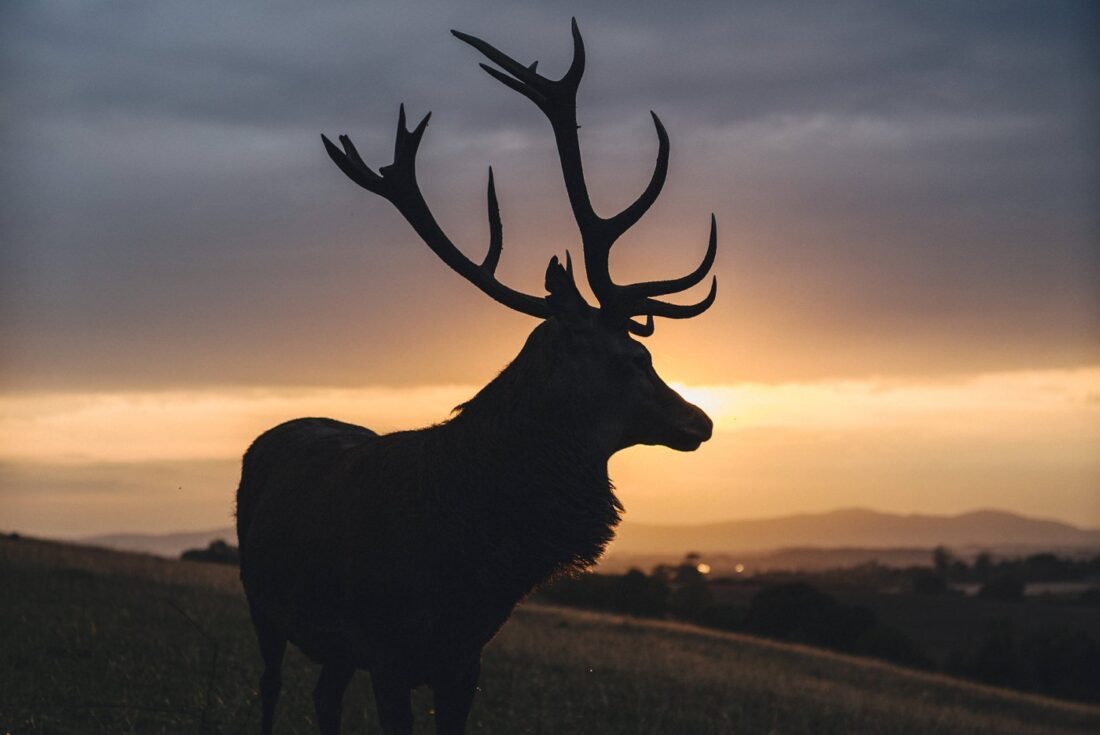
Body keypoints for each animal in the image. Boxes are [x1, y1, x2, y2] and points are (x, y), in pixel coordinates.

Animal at [237, 20, 717, 735]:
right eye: (638, 358)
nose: (701, 420)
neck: (471, 567)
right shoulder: (387, 652)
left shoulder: (464, 659)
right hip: (261, 600)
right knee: (269, 686)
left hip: (333, 645)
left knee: (323, 696)